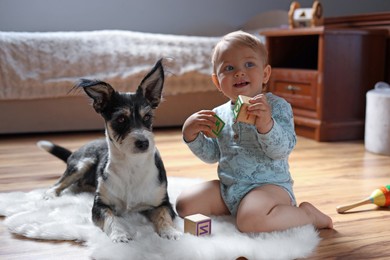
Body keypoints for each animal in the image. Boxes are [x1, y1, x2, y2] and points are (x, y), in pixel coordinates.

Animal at [38, 59, 181, 242]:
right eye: (120, 119)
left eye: (148, 117)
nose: (144, 142)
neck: (132, 166)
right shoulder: (99, 206)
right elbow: (111, 219)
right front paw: (119, 235)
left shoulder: (163, 203)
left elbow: (163, 216)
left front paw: (170, 232)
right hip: (82, 164)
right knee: (59, 182)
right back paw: (50, 195)